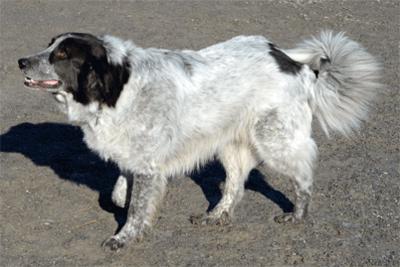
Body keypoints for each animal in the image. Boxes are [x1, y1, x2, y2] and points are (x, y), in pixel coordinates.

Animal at [18, 31, 382, 251]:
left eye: (62, 55)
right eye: (50, 47)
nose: (21, 61)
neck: (117, 87)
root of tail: (298, 66)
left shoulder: (148, 167)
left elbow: (135, 209)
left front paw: (125, 237)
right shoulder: (136, 158)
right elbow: (120, 193)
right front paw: (122, 203)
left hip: (275, 140)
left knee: (303, 176)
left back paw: (297, 214)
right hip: (230, 146)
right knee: (235, 185)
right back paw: (217, 215)